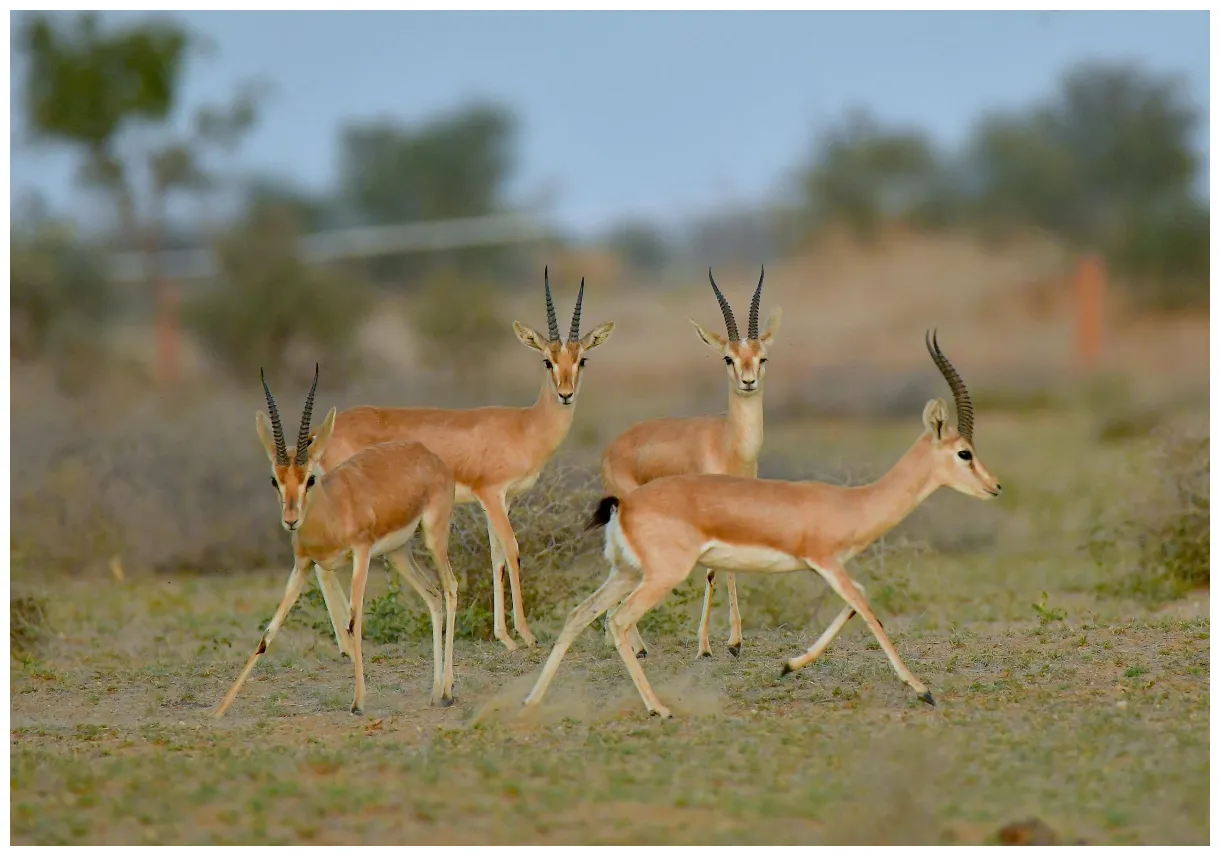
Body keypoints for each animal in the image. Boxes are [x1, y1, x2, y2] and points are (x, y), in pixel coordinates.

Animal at [213, 366, 459, 718]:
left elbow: (354, 620)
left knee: (450, 588)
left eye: (310, 478)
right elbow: (268, 632)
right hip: (398, 554)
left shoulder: (361, 553)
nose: (290, 519)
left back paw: (449, 692)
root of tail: (428, 455)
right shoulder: (303, 565)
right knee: (433, 595)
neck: (330, 511)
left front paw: (358, 702)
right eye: (275, 479)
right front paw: (219, 709)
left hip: (433, 536)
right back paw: (436, 692)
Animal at [306, 269, 614, 653]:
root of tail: (323, 432)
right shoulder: (491, 494)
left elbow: (496, 556)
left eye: (582, 359)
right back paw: (347, 646)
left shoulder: (502, 501)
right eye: (547, 360)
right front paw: (526, 635)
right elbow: (512, 550)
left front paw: (505, 637)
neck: (525, 425)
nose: (565, 394)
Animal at [524, 332, 1002, 719]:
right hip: (660, 577)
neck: (852, 503)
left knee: (580, 614)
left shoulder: (831, 568)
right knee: (619, 621)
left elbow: (857, 603)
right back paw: (659, 708)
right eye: (964, 453)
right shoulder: (827, 562)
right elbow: (869, 612)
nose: (995, 487)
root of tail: (623, 503)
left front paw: (788, 666)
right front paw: (922, 689)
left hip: (626, 572)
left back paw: (531, 701)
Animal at [600, 267, 781, 660]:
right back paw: (637, 646)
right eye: (728, 358)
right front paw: (708, 646)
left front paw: (734, 642)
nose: (748, 382)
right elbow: (713, 571)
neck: (728, 444)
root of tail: (613, 446)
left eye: (762, 357)